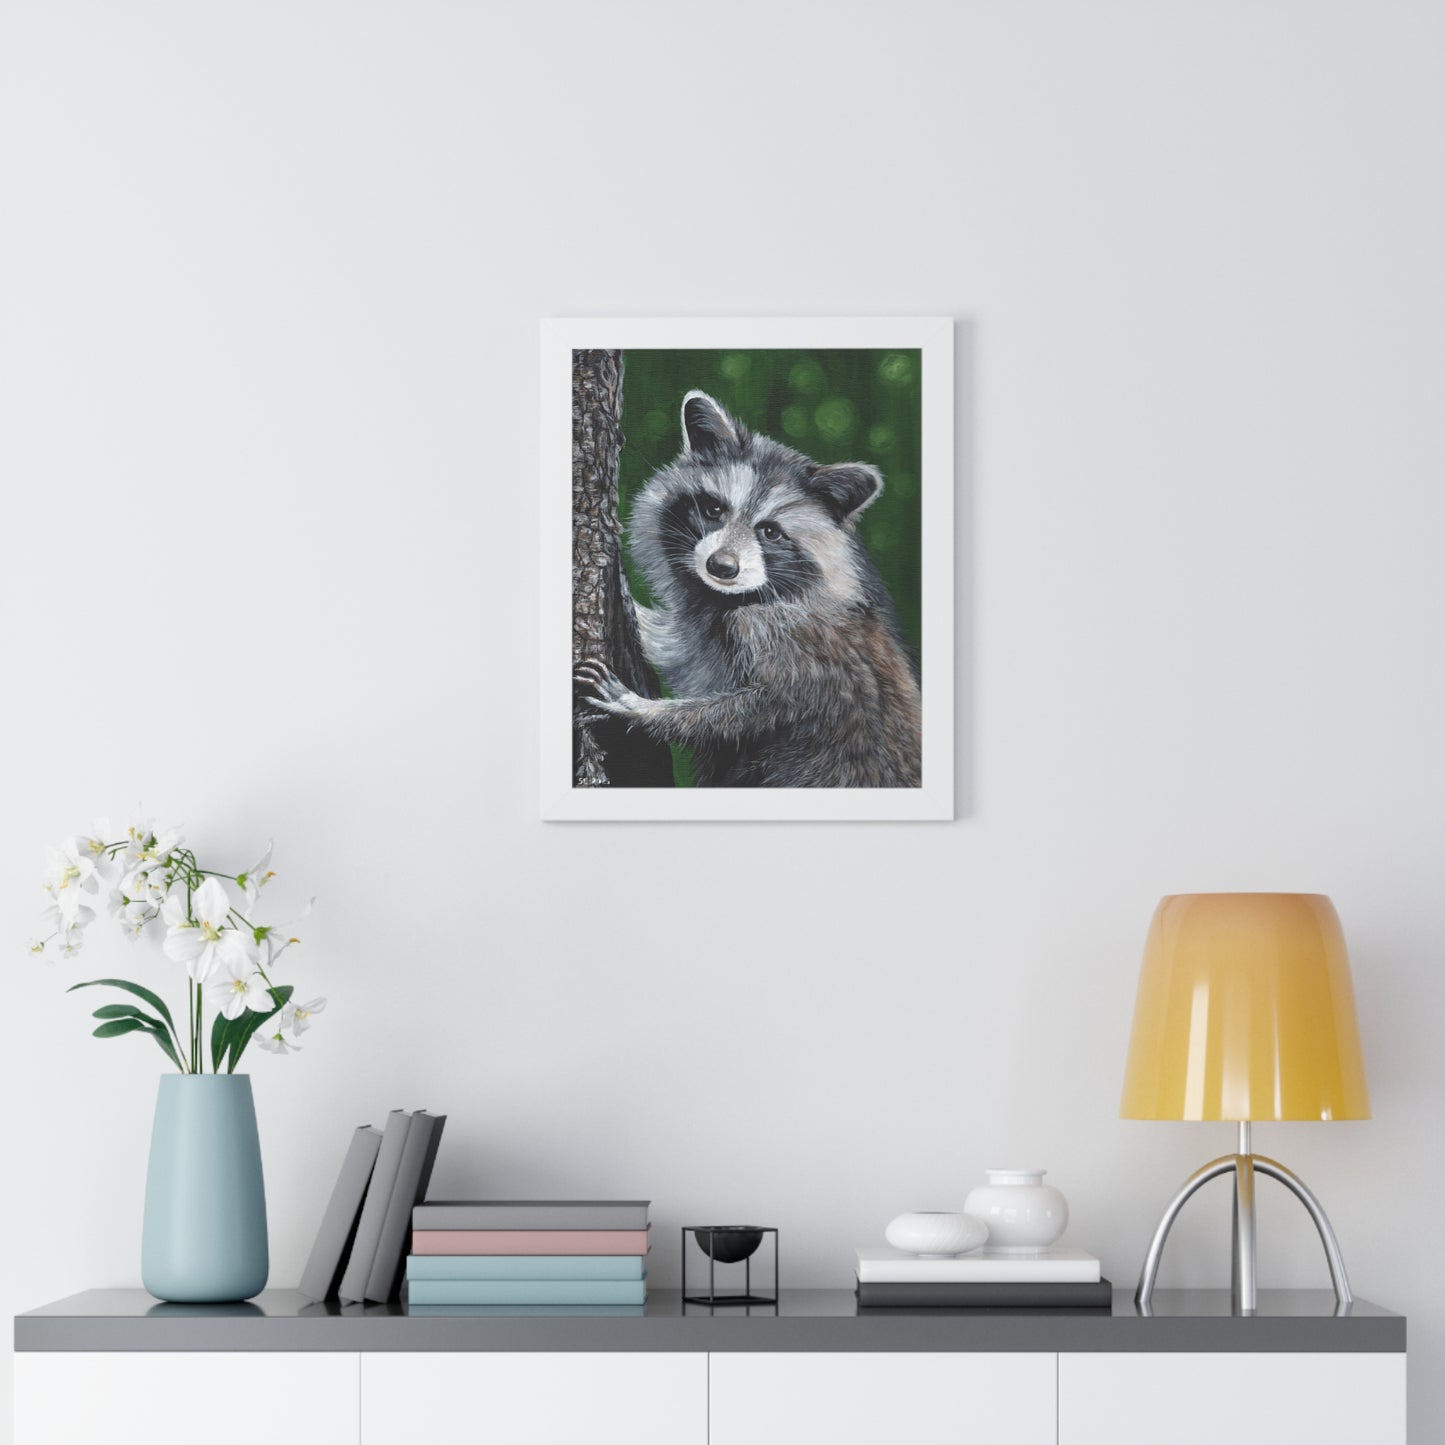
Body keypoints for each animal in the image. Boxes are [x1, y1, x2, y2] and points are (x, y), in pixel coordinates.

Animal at [575, 390, 922, 787]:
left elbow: (754, 710)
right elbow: (679, 650)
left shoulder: (791, 641)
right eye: (713, 509)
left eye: (770, 532)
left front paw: (643, 710)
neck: (734, 597)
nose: (721, 567)